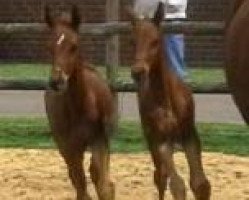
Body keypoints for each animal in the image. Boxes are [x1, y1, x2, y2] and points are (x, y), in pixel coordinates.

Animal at [44, 5, 115, 199]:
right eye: (49, 47)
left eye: (74, 46)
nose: (57, 81)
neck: (81, 106)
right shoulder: (69, 146)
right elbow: (81, 184)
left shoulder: (100, 139)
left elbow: (103, 185)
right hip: (65, 147)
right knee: (78, 179)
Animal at [128, 3, 210, 200]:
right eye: (132, 42)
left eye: (155, 41)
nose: (138, 72)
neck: (167, 99)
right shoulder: (161, 140)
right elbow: (177, 185)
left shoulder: (190, 134)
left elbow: (200, 184)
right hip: (152, 138)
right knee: (160, 176)